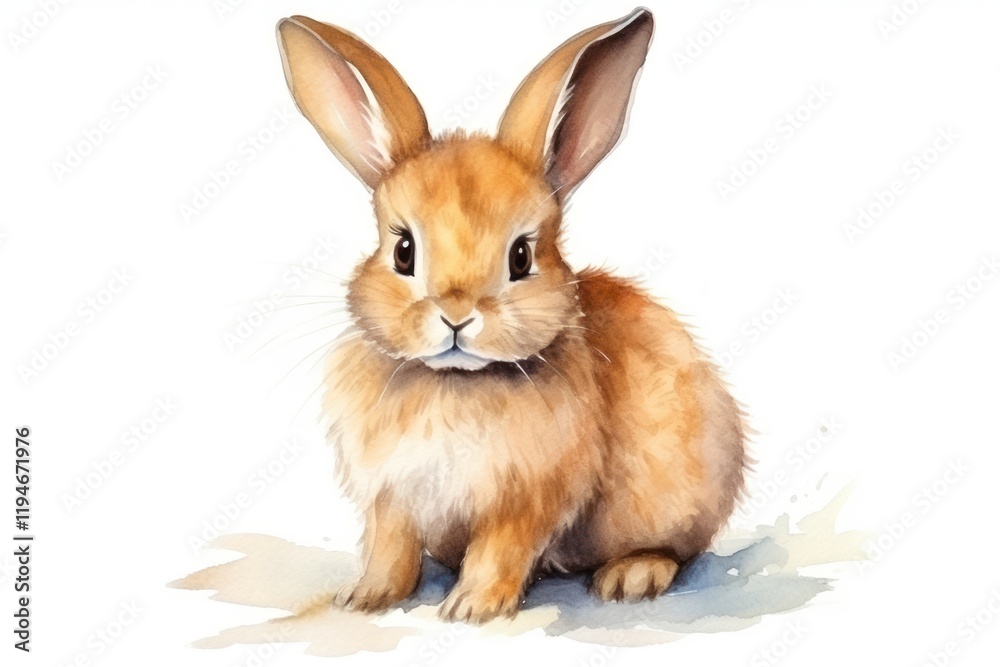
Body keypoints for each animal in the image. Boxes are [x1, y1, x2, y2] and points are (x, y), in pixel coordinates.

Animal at [275, 7, 747, 624]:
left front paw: (471, 608)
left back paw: (631, 576)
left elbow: (500, 549)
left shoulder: (526, 499)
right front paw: (365, 598)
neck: (454, 382)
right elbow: (389, 548)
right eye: (403, 251)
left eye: (521, 256)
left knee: (677, 549)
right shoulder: (393, 497)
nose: (456, 315)